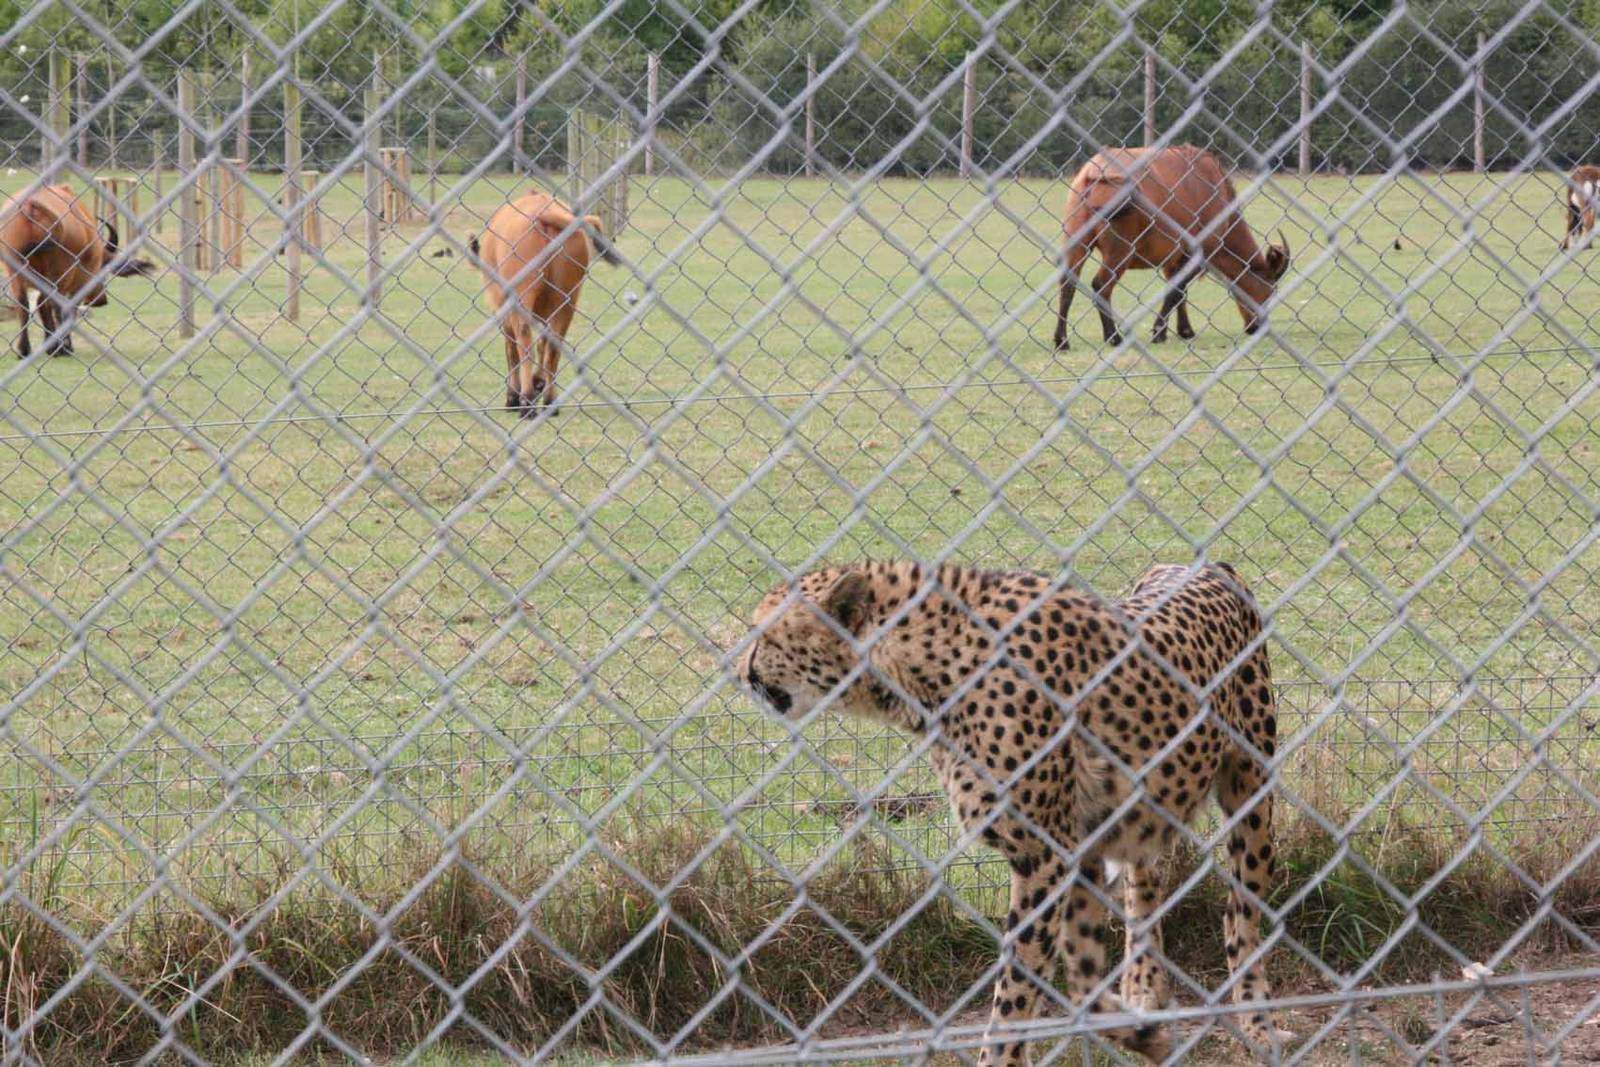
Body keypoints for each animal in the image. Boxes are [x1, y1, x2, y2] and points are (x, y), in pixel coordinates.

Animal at [737, 558, 1290, 1064]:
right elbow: (1081, 974)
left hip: (1251, 794)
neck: (921, 673)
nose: (740, 671)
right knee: (1145, 880)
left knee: (1242, 917)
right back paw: (1144, 989)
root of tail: (1205, 562)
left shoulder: (1047, 854)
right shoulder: (1078, 849)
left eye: (765, 636)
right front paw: (1140, 1034)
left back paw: (1257, 1023)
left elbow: (1018, 986)